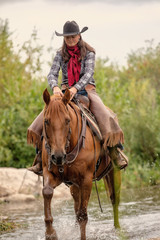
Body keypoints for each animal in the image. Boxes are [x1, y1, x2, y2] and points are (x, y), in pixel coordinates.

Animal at [42, 88, 120, 240]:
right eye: (46, 121)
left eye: (67, 120)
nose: (58, 156)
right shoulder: (50, 173)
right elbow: (47, 192)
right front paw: (50, 233)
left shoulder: (86, 180)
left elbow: (83, 215)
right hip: (74, 185)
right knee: (76, 206)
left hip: (113, 171)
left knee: (114, 199)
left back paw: (118, 229)